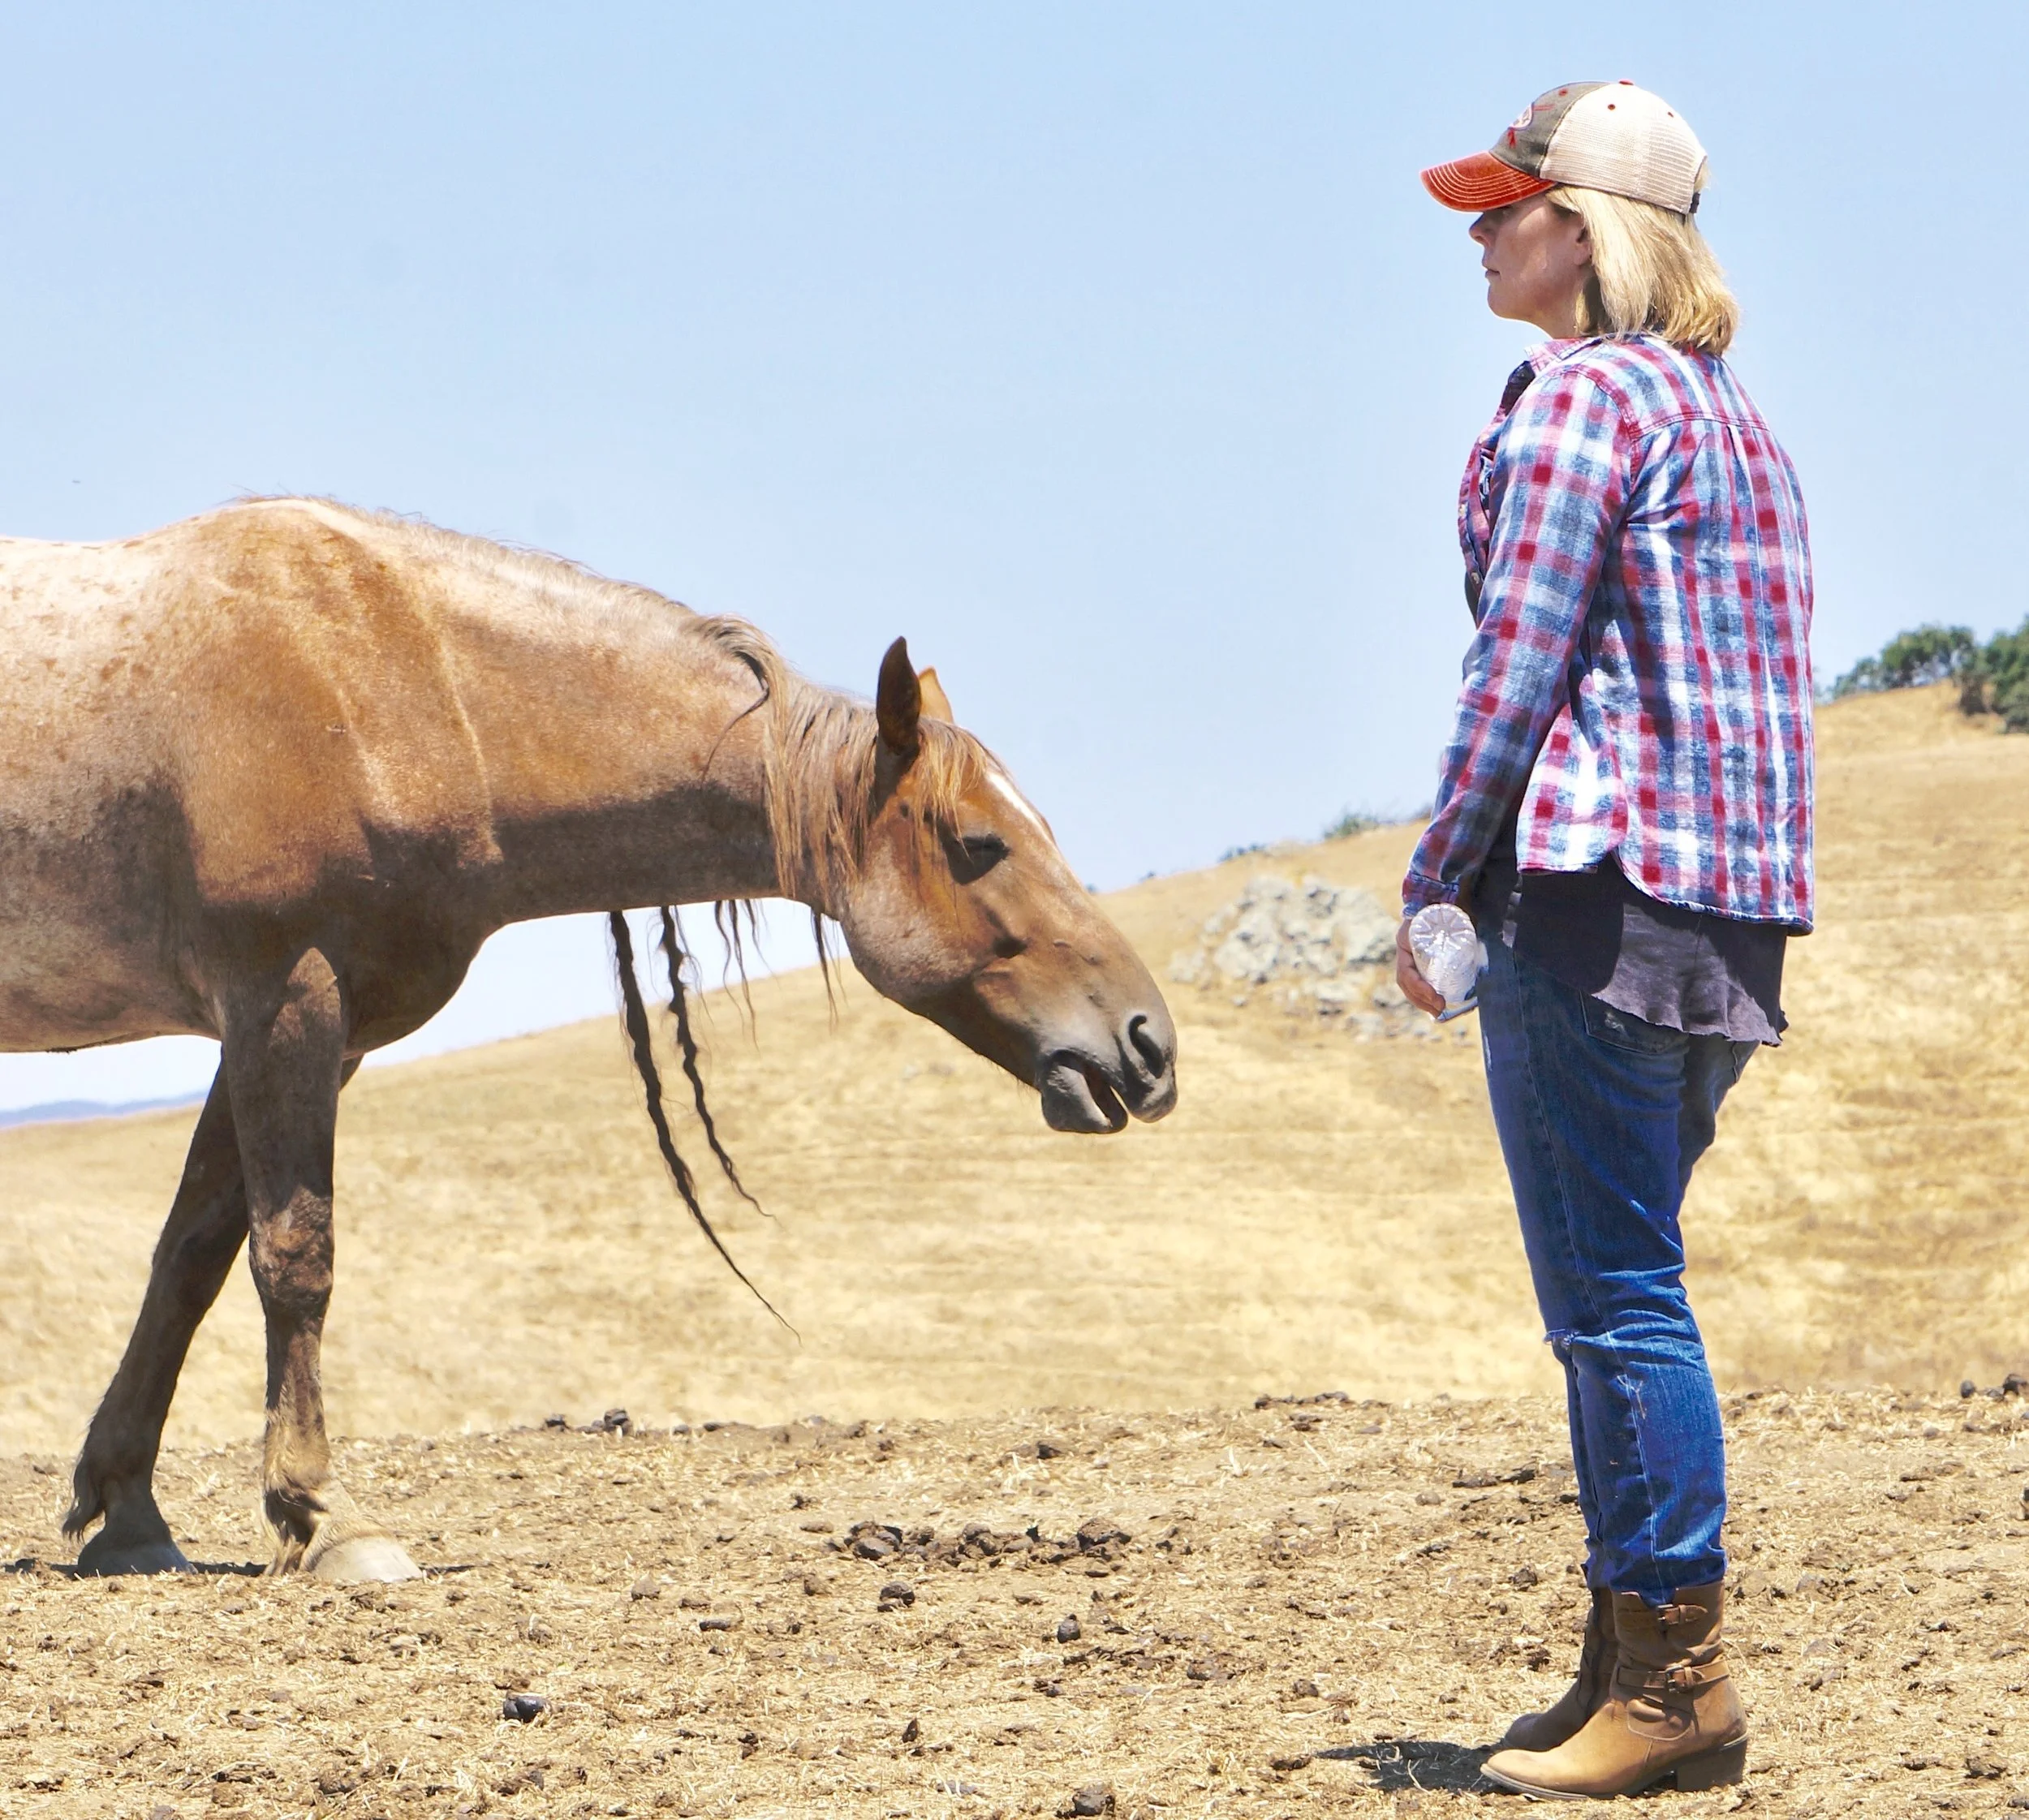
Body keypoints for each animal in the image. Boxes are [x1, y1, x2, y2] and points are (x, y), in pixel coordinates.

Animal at [0, 498, 1178, 1583]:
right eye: (980, 843)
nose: (1147, 1042)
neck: (400, 682)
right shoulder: (284, 996)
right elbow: (294, 1255)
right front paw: (322, 1514)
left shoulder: (310, 1029)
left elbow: (192, 1255)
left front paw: (127, 1512)